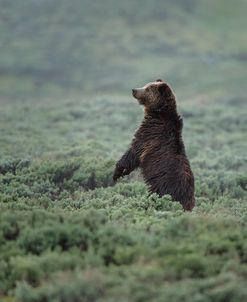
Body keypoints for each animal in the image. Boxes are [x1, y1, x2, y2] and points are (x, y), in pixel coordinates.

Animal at [113, 78, 196, 211]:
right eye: (146, 85)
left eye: (147, 89)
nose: (134, 90)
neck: (159, 113)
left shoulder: (148, 136)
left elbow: (133, 153)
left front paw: (117, 173)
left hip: (163, 186)